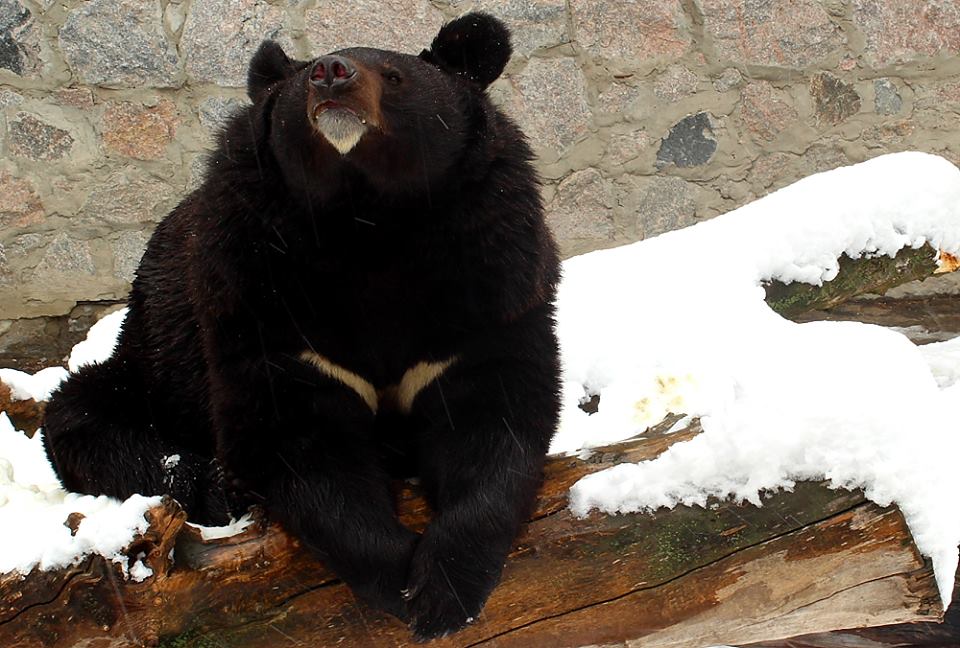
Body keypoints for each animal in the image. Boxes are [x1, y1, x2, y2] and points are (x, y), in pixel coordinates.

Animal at [41, 12, 560, 640]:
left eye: (394, 75)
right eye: (299, 83)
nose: (331, 73)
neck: (369, 222)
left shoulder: (491, 282)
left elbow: (495, 418)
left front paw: (444, 590)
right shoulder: (256, 292)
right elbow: (298, 439)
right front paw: (399, 578)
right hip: (153, 367)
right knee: (86, 419)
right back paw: (217, 486)